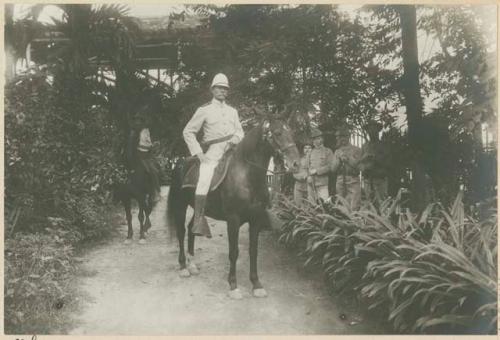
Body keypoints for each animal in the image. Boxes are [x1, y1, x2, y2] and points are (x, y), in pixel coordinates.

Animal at [168, 115, 300, 298]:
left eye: (292, 133)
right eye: (278, 133)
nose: (296, 164)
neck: (246, 176)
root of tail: (180, 164)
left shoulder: (256, 220)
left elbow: (253, 251)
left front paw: (256, 284)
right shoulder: (233, 220)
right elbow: (234, 252)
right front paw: (233, 285)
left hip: (198, 209)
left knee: (191, 228)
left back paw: (192, 265)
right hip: (180, 206)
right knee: (181, 232)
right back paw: (183, 267)